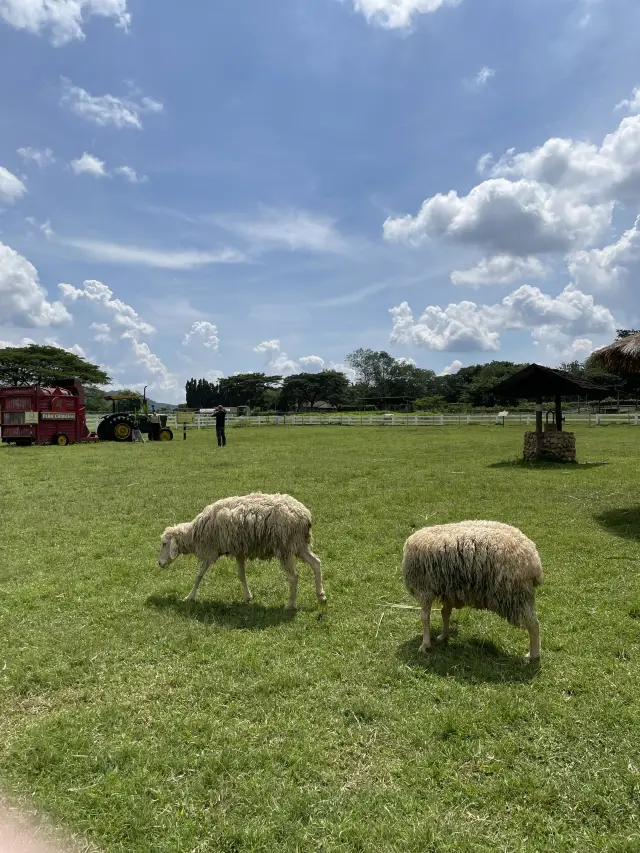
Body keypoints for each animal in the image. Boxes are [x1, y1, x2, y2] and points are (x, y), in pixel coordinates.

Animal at [154, 490, 324, 608]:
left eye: (164, 543)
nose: (159, 564)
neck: (194, 534)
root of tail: (305, 515)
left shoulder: (210, 551)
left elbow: (199, 575)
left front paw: (190, 597)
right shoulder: (239, 551)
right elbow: (241, 575)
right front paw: (248, 597)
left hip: (285, 547)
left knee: (294, 576)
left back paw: (291, 604)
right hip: (299, 544)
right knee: (316, 563)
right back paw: (321, 595)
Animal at [402, 520, 544, 660]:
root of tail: (534, 560)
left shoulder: (425, 589)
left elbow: (425, 617)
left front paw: (424, 645)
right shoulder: (448, 591)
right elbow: (445, 612)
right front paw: (444, 635)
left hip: (515, 594)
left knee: (534, 624)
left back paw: (533, 655)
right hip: (519, 594)